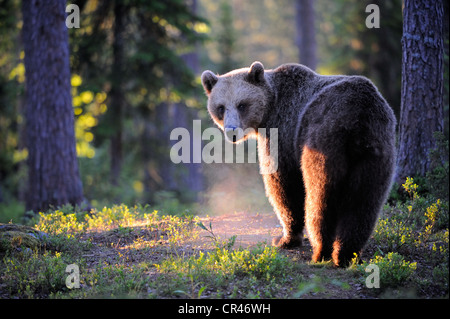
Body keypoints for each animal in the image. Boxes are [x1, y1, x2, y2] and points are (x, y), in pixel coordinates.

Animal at [202, 62, 396, 268]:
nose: (232, 131)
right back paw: (348, 254)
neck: (269, 110)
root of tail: (358, 119)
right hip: (376, 154)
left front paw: (285, 239)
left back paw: (321, 252)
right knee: (364, 205)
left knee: (320, 198)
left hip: (323, 141)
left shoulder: (284, 131)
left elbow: (283, 186)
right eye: (221, 107)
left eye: (242, 104)